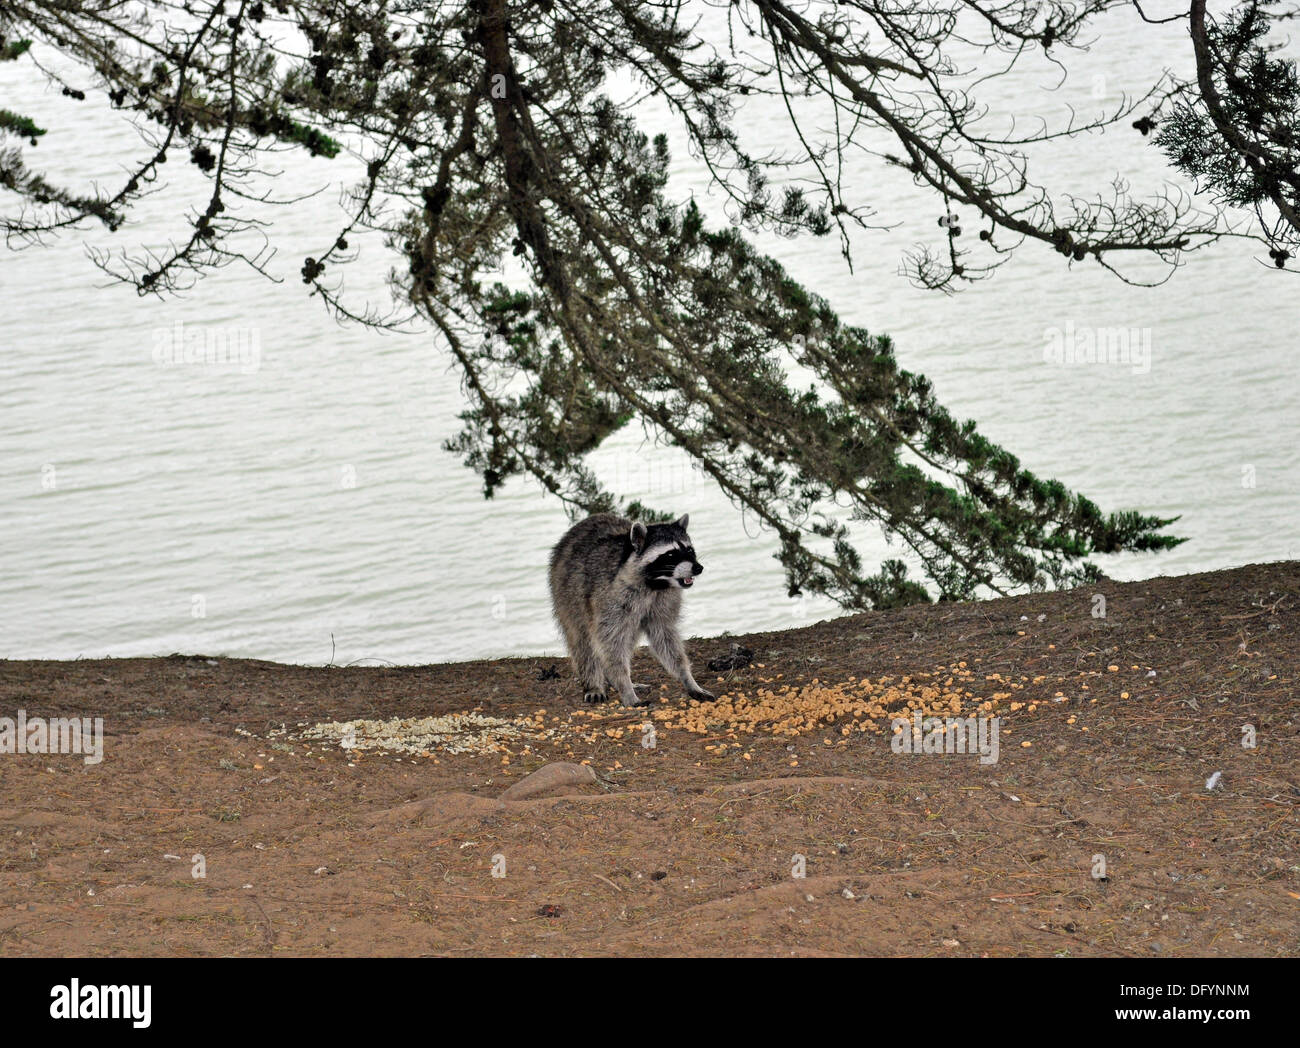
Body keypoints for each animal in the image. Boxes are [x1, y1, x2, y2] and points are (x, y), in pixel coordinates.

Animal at [546, 514, 717, 712]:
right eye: (670, 554)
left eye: (689, 549)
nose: (698, 568)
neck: (655, 584)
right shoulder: (610, 597)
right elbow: (609, 643)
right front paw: (624, 686)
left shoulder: (664, 601)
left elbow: (666, 638)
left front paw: (687, 678)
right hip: (567, 594)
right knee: (584, 642)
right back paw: (594, 682)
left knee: (626, 641)